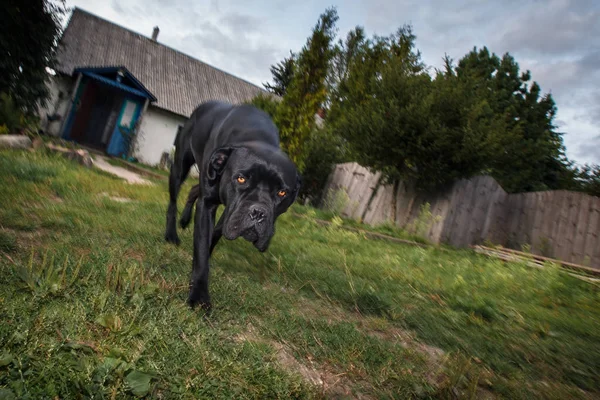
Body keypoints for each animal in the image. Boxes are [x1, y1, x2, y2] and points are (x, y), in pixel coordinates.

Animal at [164, 101, 300, 310]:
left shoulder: (228, 213)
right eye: (241, 178)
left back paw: (185, 220)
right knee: (173, 200)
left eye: (282, 192)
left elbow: (211, 238)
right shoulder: (208, 204)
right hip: (180, 166)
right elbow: (201, 248)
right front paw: (199, 295)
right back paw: (171, 234)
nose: (258, 213)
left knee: (194, 190)